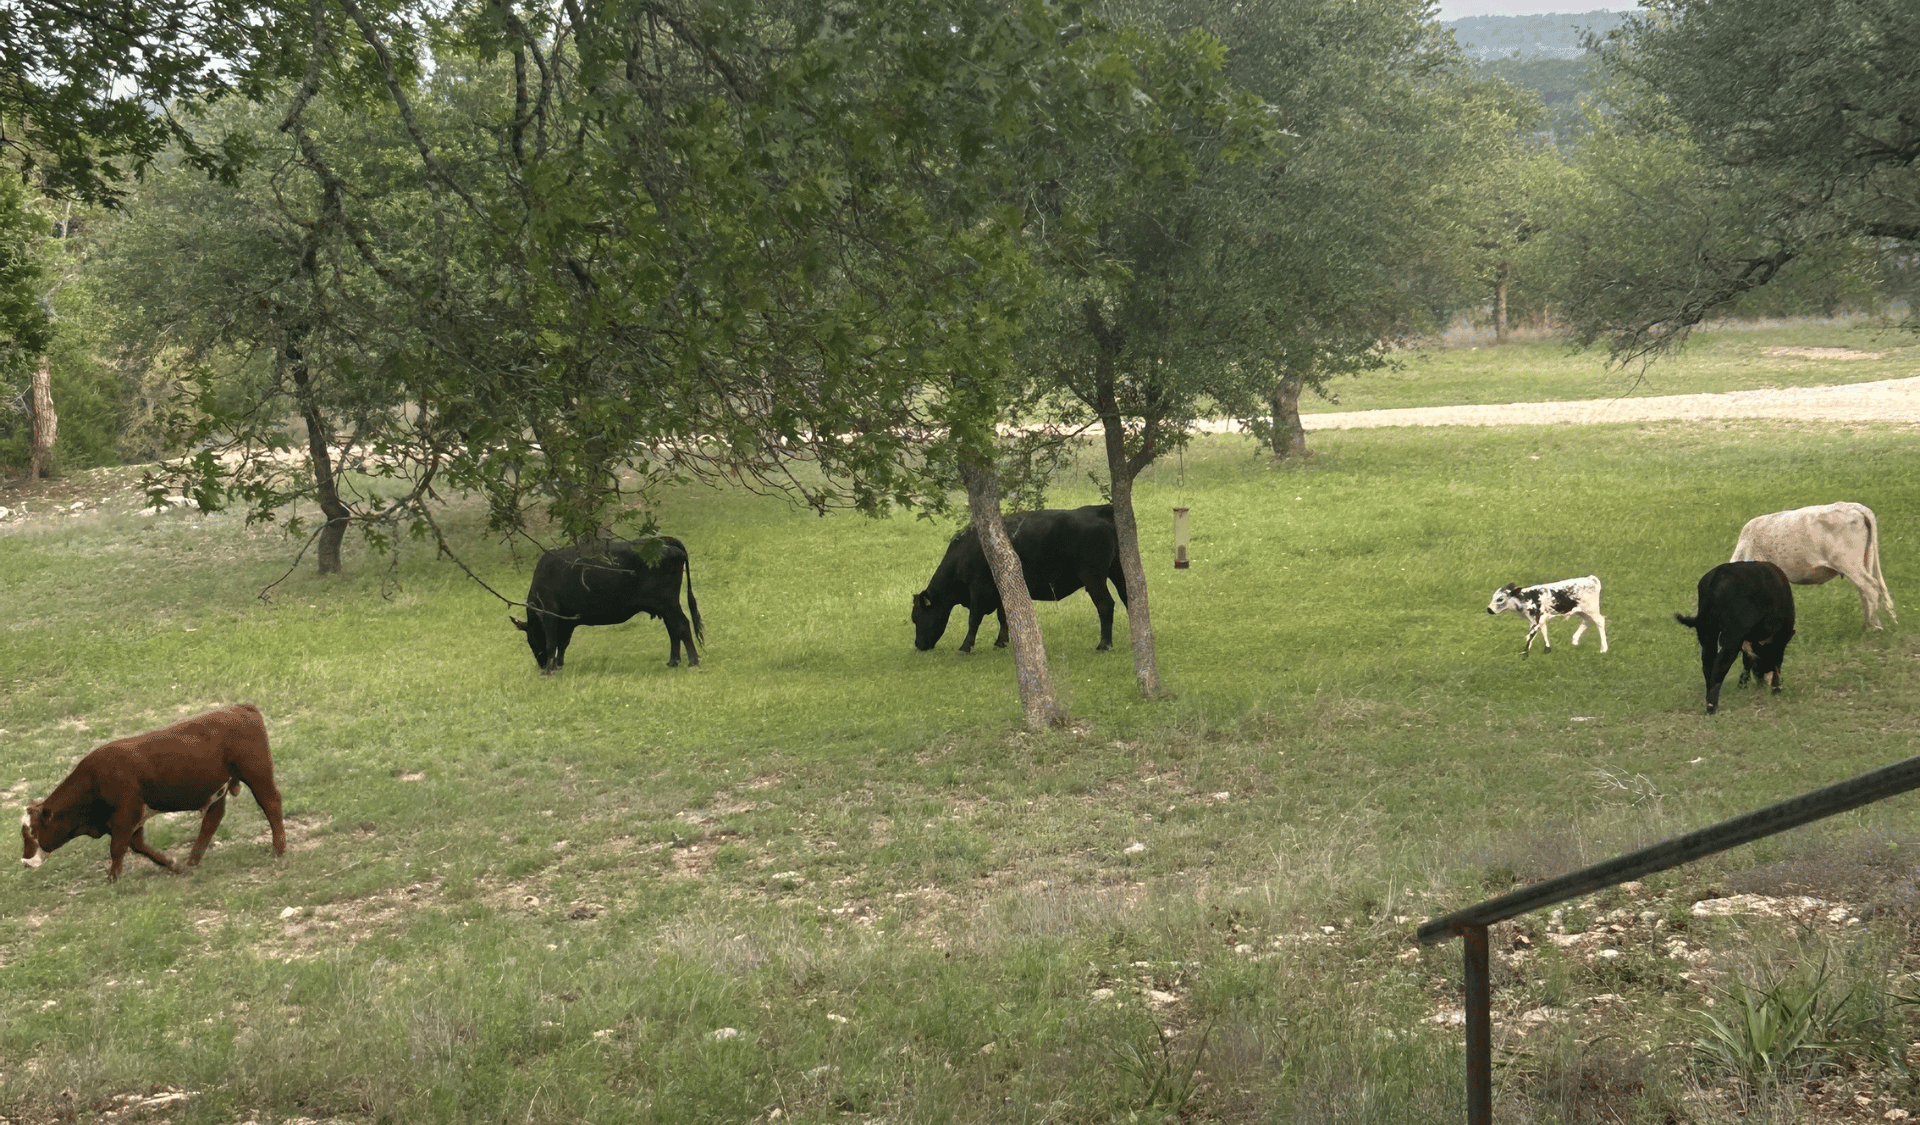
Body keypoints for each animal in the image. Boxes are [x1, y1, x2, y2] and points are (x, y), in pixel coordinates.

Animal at [20, 703, 287, 881]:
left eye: (33, 831)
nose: (25, 862)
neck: (94, 778)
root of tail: (239, 707)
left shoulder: (126, 814)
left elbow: (117, 848)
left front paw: (112, 879)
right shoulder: (131, 820)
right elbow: (139, 846)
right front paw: (174, 865)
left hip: (257, 774)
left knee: (271, 803)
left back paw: (278, 849)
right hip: (218, 789)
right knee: (212, 819)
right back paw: (193, 860)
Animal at [510, 536, 703, 674]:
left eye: (530, 640)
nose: (542, 665)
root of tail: (664, 542)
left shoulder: (550, 612)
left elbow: (552, 642)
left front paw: (549, 671)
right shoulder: (567, 620)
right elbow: (563, 643)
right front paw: (558, 665)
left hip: (667, 603)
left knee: (682, 625)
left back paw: (693, 662)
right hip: (664, 606)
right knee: (673, 628)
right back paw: (673, 661)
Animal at [913, 505, 1128, 653]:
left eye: (917, 618)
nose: (918, 645)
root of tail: (1097, 510)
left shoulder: (979, 589)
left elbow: (974, 619)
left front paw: (965, 647)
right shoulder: (1000, 590)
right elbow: (1003, 616)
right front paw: (1001, 642)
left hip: (1093, 577)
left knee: (1105, 605)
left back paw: (1104, 644)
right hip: (1118, 571)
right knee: (1129, 597)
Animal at [1674, 560, 1796, 714]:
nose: (1760, 677)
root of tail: (1719, 573)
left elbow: (1747, 660)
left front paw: (1742, 684)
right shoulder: (1778, 639)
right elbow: (1776, 663)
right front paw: (1776, 689)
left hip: (1707, 631)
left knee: (1708, 664)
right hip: (1730, 637)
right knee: (1720, 666)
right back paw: (1711, 707)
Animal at [1730, 501, 1896, 630]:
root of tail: (1853, 506)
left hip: (1849, 563)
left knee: (1870, 588)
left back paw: (1874, 627)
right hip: (1864, 560)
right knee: (1865, 590)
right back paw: (1868, 624)